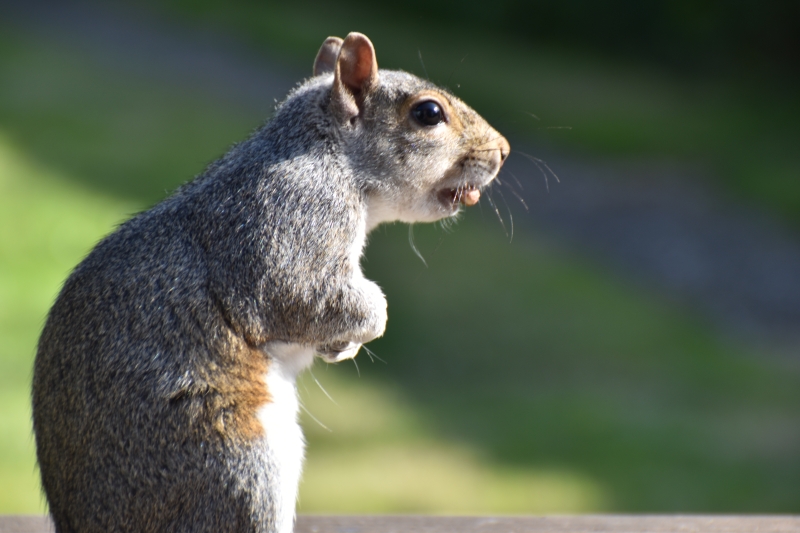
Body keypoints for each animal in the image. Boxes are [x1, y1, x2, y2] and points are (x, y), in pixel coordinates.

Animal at [31, 33, 510, 532]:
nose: (503, 150)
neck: (330, 153)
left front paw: (341, 346)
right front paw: (370, 321)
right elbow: (300, 296)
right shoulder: (294, 216)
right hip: (236, 462)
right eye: (428, 113)